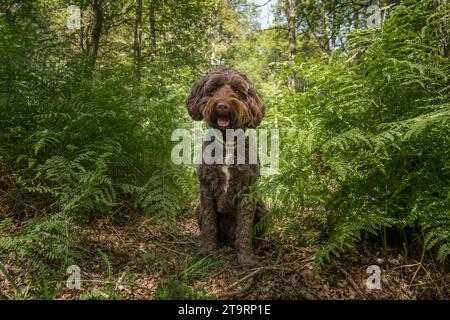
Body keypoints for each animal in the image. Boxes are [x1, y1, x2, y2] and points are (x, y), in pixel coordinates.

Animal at [186, 67, 268, 264]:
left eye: (238, 91)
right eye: (213, 88)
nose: (223, 105)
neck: (227, 143)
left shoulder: (247, 190)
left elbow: (244, 229)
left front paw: (246, 258)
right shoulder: (206, 187)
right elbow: (209, 223)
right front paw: (207, 251)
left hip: (263, 209)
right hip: (198, 209)